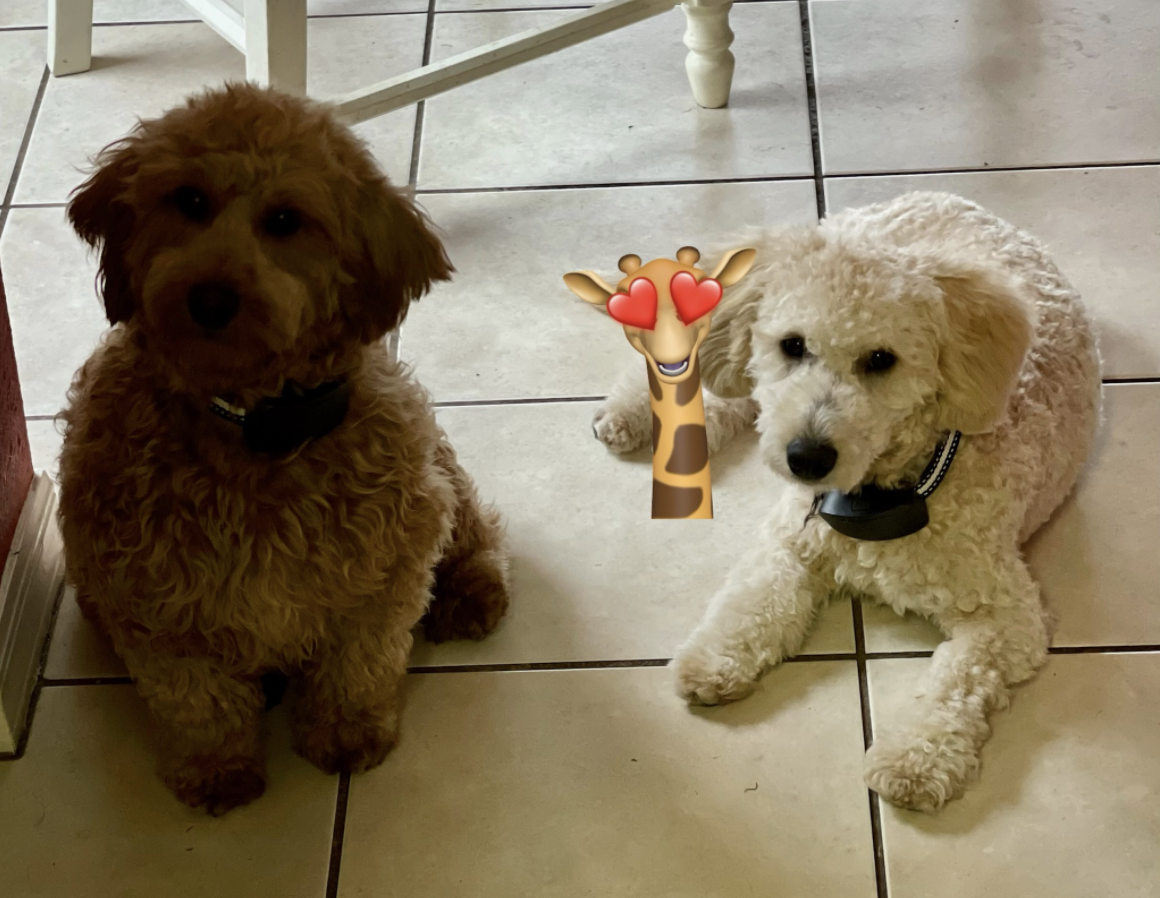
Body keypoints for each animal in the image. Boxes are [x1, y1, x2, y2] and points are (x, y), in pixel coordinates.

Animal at [58, 83, 510, 815]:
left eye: (285, 219)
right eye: (188, 199)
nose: (211, 298)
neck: (256, 425)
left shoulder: (383, 570)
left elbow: (358, 662)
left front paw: (347, 732)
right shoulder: (150, 605)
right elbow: (196, 699)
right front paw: (216, 768)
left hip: (436, 472)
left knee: (477, 529)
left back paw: (472, 591)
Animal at [593, 192, 1101, 811]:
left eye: (881, 360)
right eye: (792, 345)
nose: (806, 457)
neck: (882, 495)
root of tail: (946, 196)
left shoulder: (1008, 619)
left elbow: (958, 679)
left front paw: (915, 756)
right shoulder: (789, 541)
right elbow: (754, 601)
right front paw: (715, 655)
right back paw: (633, 415)